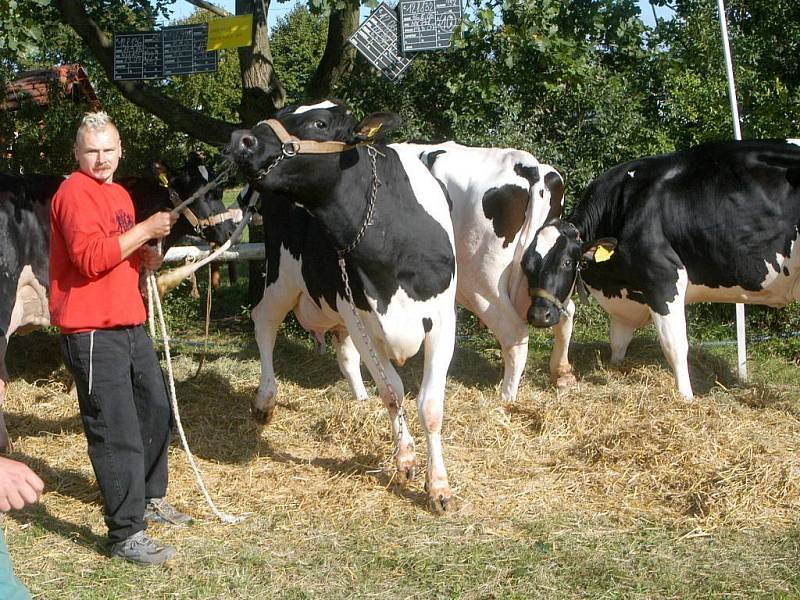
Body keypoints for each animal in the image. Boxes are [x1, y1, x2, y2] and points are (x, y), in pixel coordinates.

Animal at [228, 101, 460, 512]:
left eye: (320, 123)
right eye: (284, 113)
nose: (242, 138)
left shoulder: (442, 319)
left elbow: (430, 406)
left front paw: (439, 488)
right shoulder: (361, 317)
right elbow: (393, 391)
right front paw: (405, 457)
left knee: (344, 355)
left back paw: (360, 401)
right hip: (283, 275)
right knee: (264, 321)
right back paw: (265, 399)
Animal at [520, 139, 800, 398]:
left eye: (567, 262)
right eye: (526, 266)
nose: (538, 315)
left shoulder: (662, 278)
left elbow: (674, 345)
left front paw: (686, 398)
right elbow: (618, 341)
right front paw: (616, 370)